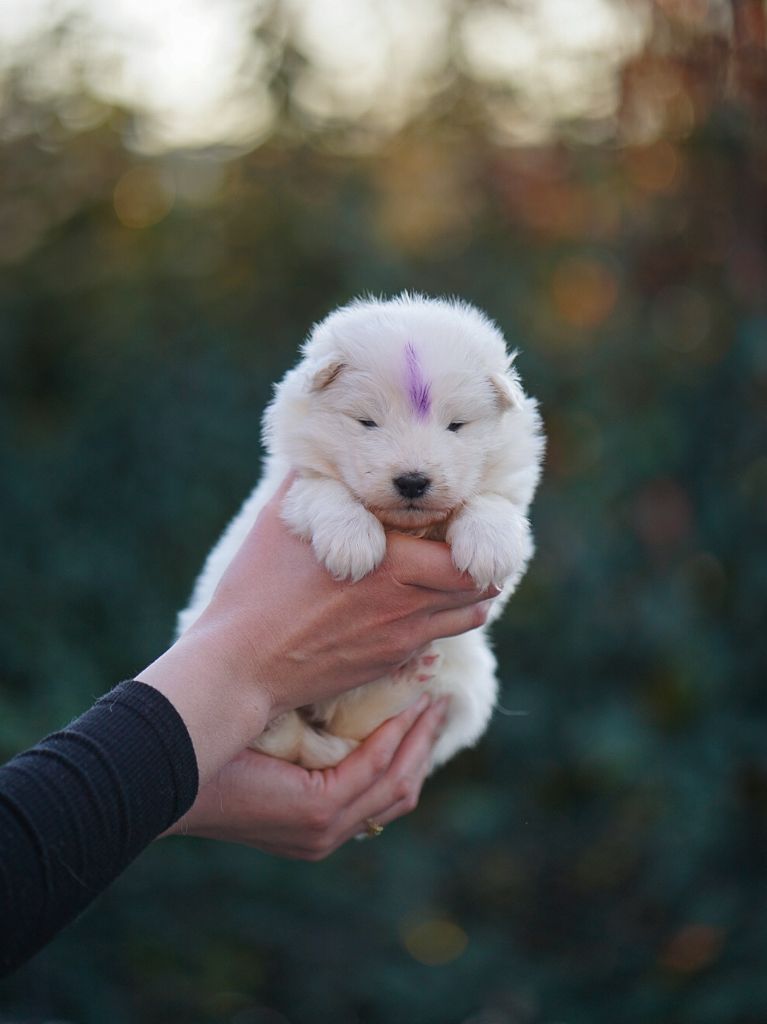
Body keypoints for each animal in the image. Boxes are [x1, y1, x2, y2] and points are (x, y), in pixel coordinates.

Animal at [177, 294, 544, 770]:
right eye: (367, 421)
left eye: (456, 425)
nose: (412, 481)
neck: (404, 525)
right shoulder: (291, 484)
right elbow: (324, 490)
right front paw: (353, 544)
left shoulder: (510, 490)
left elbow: (492, 502)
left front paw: (489, 544)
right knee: (301, 744)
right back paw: (279, 725)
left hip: (466, 682)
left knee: (361, 727)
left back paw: (403, 680)